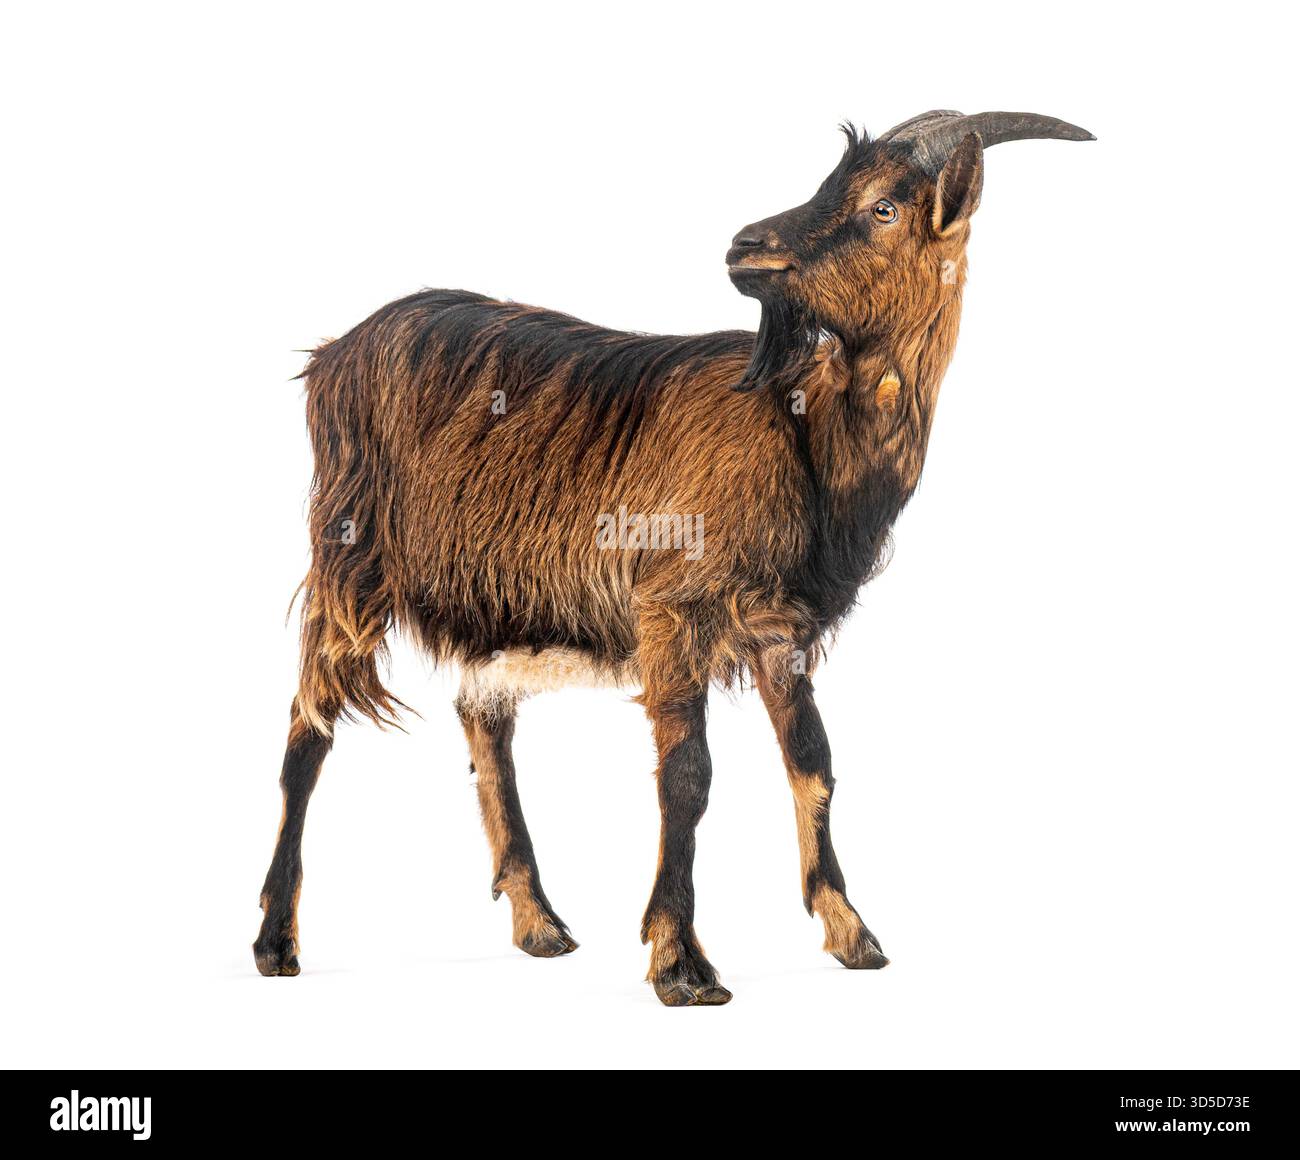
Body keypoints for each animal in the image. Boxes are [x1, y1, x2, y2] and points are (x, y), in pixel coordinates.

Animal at [254, 109, 1094, 1005]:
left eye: (882, 208)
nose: (746, 245)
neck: (799, 425)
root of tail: (333, 353)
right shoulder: (673, 605)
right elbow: (688, 775)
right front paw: (681, 960)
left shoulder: (781, 629)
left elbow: (814, 761)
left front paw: (851, 932)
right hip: (349, 555)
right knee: (308, 724)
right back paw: (277, 942)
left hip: (491, 597)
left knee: (483, 719)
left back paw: (539, 924)